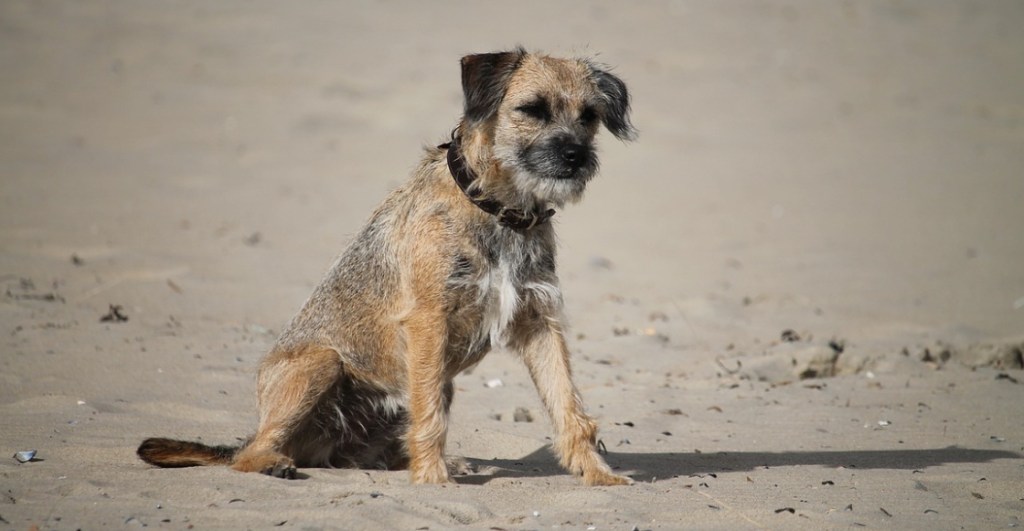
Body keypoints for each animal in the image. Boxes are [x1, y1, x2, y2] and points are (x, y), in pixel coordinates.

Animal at [136, 48, 630, 487]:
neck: (497, 209)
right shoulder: (429, 321)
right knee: (249, 453)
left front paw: (597, 475)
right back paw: (275, 462)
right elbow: (429, 415)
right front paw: (432, 480)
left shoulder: (539, 321)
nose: (575, 155)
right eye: (532, 109)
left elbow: (568, 407)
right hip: (320, 363)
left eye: (589, 116)